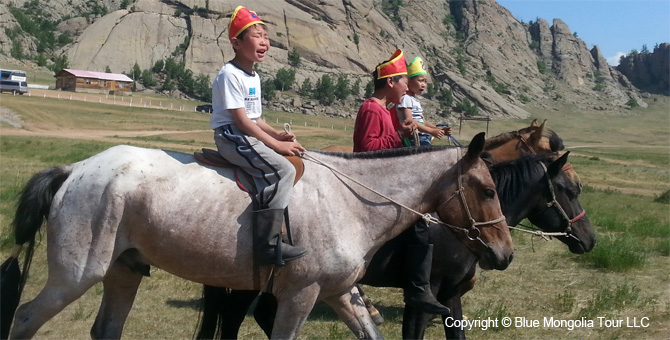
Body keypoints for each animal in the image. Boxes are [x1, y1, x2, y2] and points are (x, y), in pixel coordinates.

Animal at [3, 132, 516, 338]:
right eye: (489, 190)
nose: (505, 254)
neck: (349, 201)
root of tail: (74, 170)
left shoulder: (340, 294)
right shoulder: (300, 295)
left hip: (123, 273)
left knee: (106, 329)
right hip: (76, 276)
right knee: (24, 318)